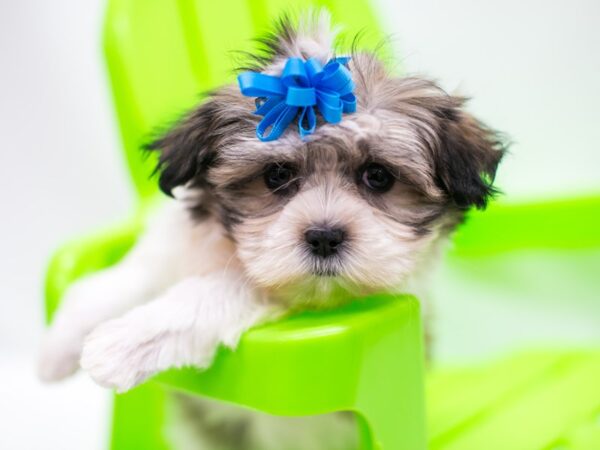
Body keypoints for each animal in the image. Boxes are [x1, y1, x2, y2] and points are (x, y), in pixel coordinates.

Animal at [38, 10, 506, 450]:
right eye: (276, 175)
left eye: (378, 176)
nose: (324, 236)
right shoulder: (169, 251)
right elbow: (118, 283)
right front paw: (57, 348)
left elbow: (212, 292)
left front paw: (119, 344)